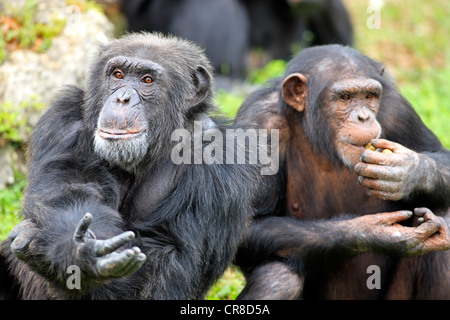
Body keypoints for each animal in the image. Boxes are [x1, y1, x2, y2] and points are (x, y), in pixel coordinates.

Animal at [0, 32, 262, 300]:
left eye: (147, 80)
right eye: (118, 75)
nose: (122, 98)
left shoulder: (221, 156)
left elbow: (169, 258)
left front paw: (71, 255)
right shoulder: (65, 121)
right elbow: (67, 193)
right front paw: (79, 251)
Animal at [234, 45, 450, 300]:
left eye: (369, 96)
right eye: (345, 97)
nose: (364, 117)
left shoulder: (398, 110)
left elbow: (441, 155)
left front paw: (407, 172)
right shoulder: (258, 123)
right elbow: (248, 226)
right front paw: (371, 233)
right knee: (278, 278)